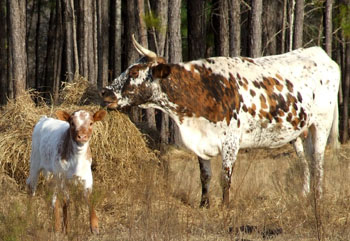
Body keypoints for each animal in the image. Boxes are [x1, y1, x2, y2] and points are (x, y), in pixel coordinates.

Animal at [100, 34, 340, 208]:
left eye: (134, 72)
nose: (105, 92)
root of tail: (319, 52)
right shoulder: (200, 142)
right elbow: (205, 176)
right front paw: (204, 205)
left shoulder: (231, 141)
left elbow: (226, 177)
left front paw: (225, 207)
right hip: (299, 131)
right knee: (305, 161)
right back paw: (304, 194)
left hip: (322, 124)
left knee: (317, 161)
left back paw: (317, 197)